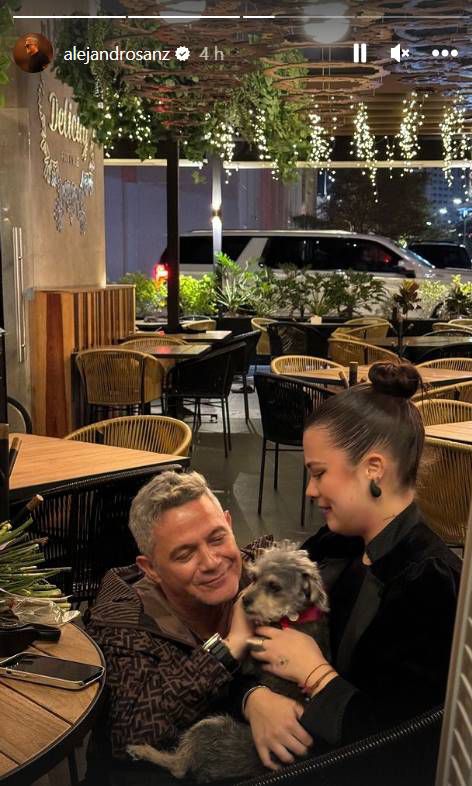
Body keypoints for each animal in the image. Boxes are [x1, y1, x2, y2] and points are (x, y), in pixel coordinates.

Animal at [127, 544, 330, 780]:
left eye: (274, 587)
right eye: (254, 577)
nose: (244, 600)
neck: (293, 616)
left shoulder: (255, 653)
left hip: (209, 726)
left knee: (177, 767)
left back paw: (142, 750)